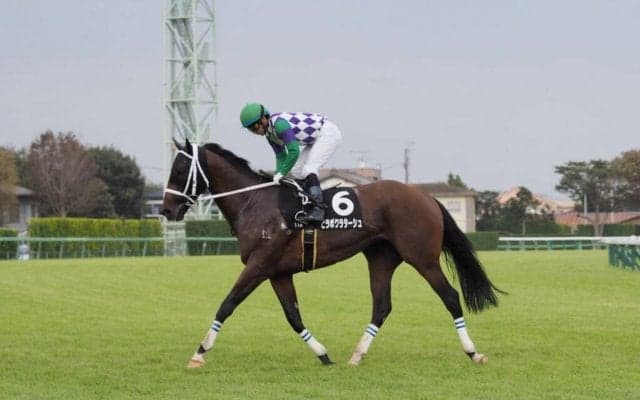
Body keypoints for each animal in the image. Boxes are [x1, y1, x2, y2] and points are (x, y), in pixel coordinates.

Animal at [161, 139, 504, 368]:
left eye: (179, 168)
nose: (166, 209)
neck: (254, 201)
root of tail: (427, 197)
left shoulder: (259, 265)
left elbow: (227, 304)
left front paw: (199, 353)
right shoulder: (278, 272)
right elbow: (293, 316)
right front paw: (323, 354)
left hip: (422, 257)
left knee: (450, 296)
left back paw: (473, 352)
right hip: (381, 258)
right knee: (382, 306)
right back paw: (357, 354)